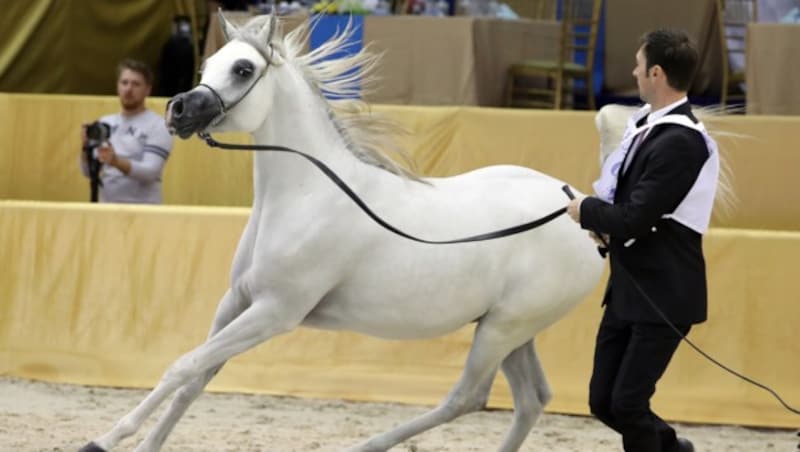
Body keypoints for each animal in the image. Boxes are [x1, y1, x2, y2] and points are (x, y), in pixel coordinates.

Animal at [83, 14, 608, 452]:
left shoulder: (275, 312)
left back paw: (365, 447)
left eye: (243, 69)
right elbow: (193, 378)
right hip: (512, 330)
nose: (176, 110)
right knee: (532, 399)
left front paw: (104, 439)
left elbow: (183, 365)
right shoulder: (236, 302)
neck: (306, 196)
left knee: (467, 398)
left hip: (504, 328)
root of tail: (580, 209)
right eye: (208, 63)